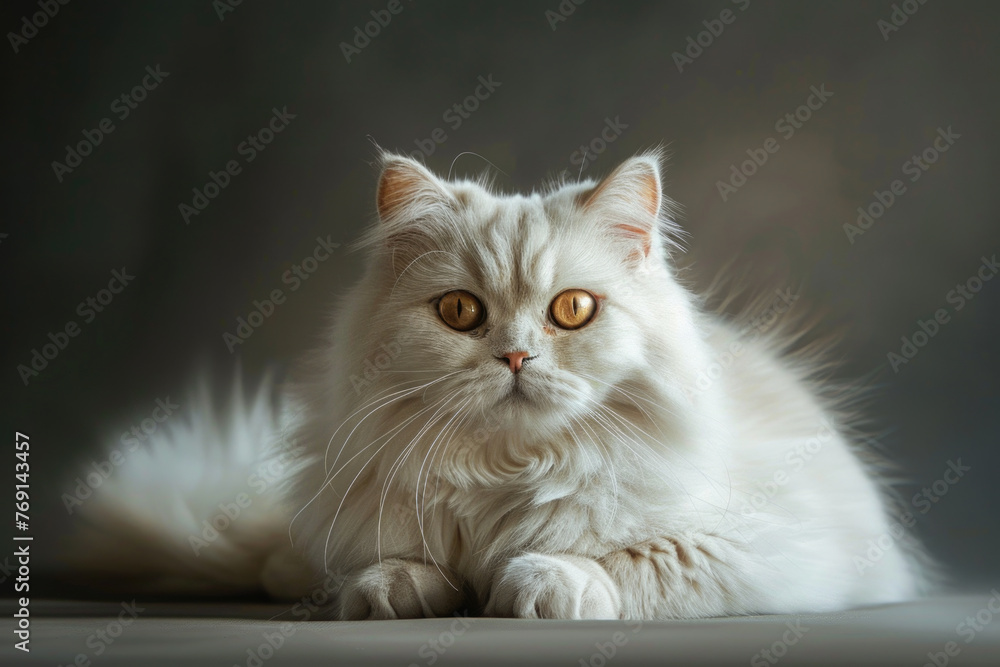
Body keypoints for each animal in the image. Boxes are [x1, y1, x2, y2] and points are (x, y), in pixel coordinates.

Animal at [70, 149, 928, 620]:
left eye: (572, 310)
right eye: (460, 312)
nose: (515, 357)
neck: (508, 473)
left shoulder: (760, 542)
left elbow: (623, 556)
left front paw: (538, 578)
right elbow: (378, 566)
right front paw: (403, 587)